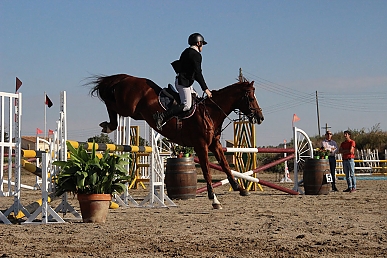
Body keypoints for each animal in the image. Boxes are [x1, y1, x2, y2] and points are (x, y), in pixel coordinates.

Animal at [90, 74, 266, 210]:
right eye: (251, 98)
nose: (260, 118)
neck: (211, 112)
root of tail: (127, 77)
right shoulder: (201, 145)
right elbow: (207, 171)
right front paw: (214, 199)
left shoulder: (214, 145)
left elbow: (225, 165)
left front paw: (240, 188)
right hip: (128, 108)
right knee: (110, 103)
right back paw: (108, 125)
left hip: (135, 112)